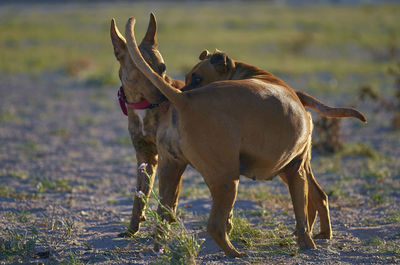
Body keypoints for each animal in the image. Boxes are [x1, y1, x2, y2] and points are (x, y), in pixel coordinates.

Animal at [123, 16, 368, 256]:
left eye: (197, 78)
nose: (164, 101)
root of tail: (183, 101)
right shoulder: (296, 169)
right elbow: (301, 217)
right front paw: (307, 243)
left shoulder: (295, 169)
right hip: (227, 179)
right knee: (215, 225)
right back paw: (236, 253)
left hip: (172, 172)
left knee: (164, 214)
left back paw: (161, 248)